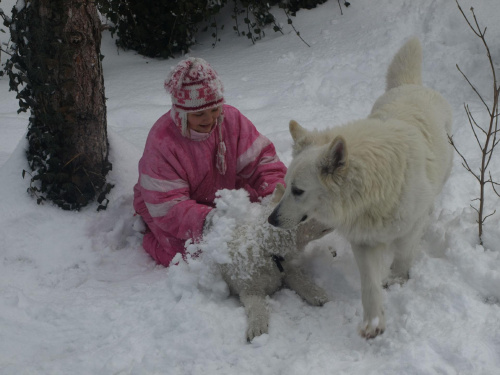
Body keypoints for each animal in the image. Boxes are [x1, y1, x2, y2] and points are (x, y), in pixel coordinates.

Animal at [270, 39, 454, 340]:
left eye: (297, 191)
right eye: (286, 187)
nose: (270, 220)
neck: (371, 192)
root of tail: (409, 85)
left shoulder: (409, 225)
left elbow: (404, 251)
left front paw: (398, 277)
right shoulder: (363, 240)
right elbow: (369, 284)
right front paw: (373, 321)